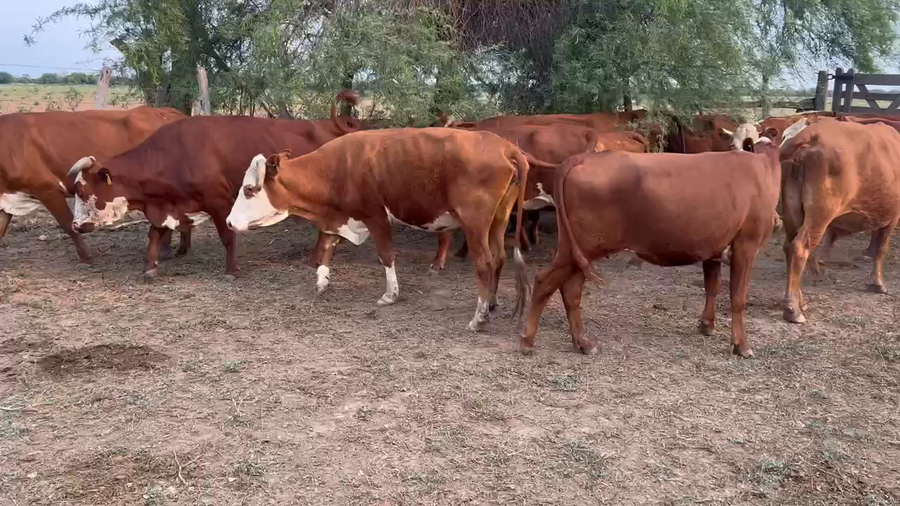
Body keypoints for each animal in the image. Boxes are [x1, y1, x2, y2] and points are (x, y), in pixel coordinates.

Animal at [66, 91, 360, 279]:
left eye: (82, 190)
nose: (76, 225)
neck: (175, 154)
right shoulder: (167, 204)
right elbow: (154, 233)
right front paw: (150, 267)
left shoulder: (219, 202)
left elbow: (227, 237)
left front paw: (232, 271)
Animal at [225, 128, 530, 331]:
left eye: (249, 189)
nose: (228, 222)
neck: (336, 168)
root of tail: (504, 146)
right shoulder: (339, 217)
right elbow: (325, 246)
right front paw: (322, 282)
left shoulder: (376, 216)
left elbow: (386, 255)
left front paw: (390, 294)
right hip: (499, 221)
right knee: (499, 258)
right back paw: (491, 304)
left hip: (475, 223)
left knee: (485, 263)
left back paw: (478, 317)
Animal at [520, 139, 782, 358]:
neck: (763, 169)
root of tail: (584, 157)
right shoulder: (747, 245)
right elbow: (738, 297)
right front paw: (742, 345)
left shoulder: (713, 247)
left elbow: (712, 286)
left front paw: (707, 325)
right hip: (584, 247)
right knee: (544, 281)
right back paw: (527, 341)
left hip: (576, 250)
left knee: (570, 290)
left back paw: (583, 343)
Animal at [780, 119, 900, 324]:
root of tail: (811, 134)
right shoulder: (893, 214)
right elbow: (881, 249)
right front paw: (877, 283)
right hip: (820, 213)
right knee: (799, 249)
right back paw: (793, 310)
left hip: (793, 214)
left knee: (789, 248)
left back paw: (800, 302)